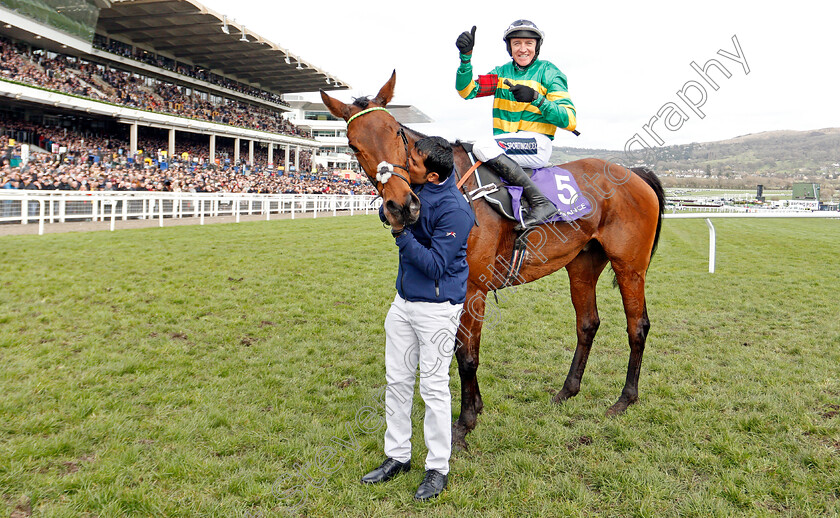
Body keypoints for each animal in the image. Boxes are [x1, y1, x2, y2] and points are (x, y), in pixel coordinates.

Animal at [320, 73, 664, 450]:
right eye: (352, 145)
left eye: (396, 131)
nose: (401, 206)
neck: (455, 189)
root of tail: (636, 173)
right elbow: (462, 352)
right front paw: (477, 406)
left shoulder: (472, 288)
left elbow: (467, 356)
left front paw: (464, 422)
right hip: (582, 264)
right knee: (587, 323)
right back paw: (567, 391)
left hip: (630, 266)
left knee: (637, 326)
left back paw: (625, 399)